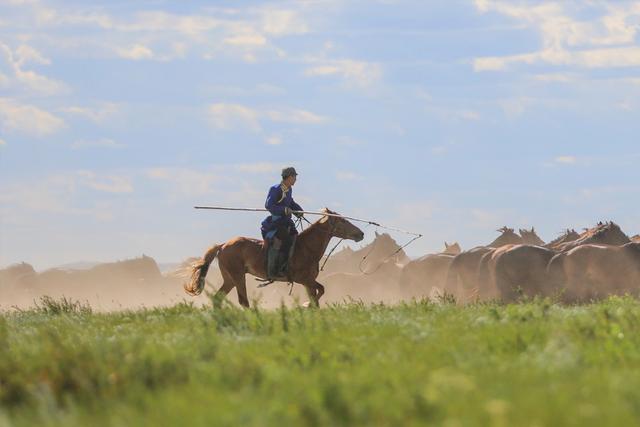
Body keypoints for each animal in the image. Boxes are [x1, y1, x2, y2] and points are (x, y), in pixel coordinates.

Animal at [185, 210, 364, 308]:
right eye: (343, 221)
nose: (361, 234)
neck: (306, 247)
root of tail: (222, 245)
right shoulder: (305, 280)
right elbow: (317, 297)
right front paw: (305, 306)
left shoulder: (309, 281)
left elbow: (320, 294)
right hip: (238, 276)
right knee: (243, 301)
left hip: (229, 278)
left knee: (218, 298)